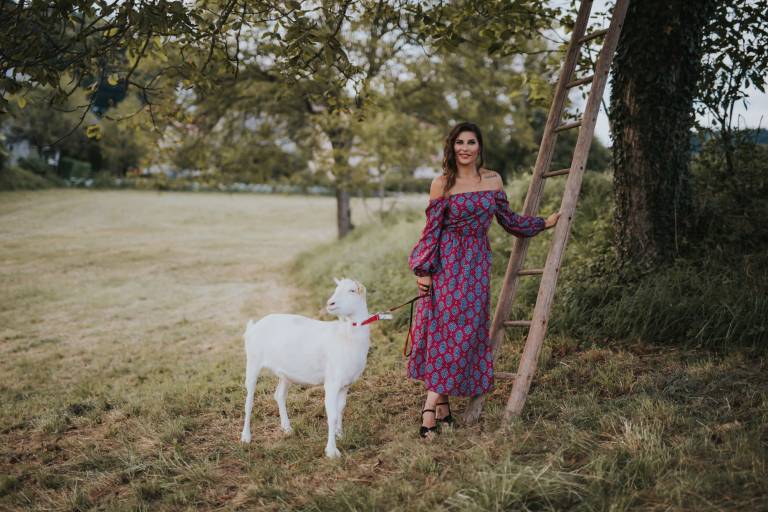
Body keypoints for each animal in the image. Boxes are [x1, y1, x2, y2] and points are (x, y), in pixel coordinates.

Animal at [240, 277, 372, 458]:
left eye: (352, 290)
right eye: (336, 289)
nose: (330, 303)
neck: (346, 337)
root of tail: (253, 327)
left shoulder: (346, 384)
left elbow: (340, 409)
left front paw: (340, 434)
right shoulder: (331, 383)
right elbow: (332, 415)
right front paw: (332, 451)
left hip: (285, 373)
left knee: (279, 395)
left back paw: (287, 428)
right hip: (253, 362)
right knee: (249, 401)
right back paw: (246, 437)